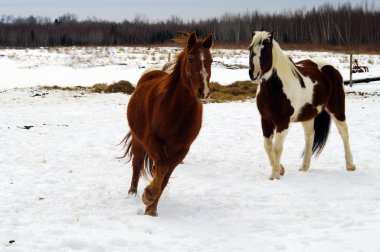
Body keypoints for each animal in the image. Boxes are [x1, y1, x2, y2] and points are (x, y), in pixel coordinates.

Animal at [121, 32, 214, 217]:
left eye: (211, 60)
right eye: (191, 59)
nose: (204, 91)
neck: (178, 112)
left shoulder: (181, 150)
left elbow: (164, 178)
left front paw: (151, 209)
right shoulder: (152, 141)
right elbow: (162, 168)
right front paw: (148, 196)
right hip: (138, 140)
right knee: (137, 164)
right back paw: (133, 193)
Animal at [249, 31, 356, 179]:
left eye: (265, 50)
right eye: (250, 49)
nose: (253, 74)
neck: (274, 88)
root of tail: (330, 68)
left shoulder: (283, 122)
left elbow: (277, 147)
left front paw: (275, 175)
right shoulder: (265, 120)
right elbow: (268, 146)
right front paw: (280, 170)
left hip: (336, 109)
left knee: (344, 132)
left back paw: (350, 165)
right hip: (308, 116)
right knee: (309, 137)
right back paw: (304, 167)